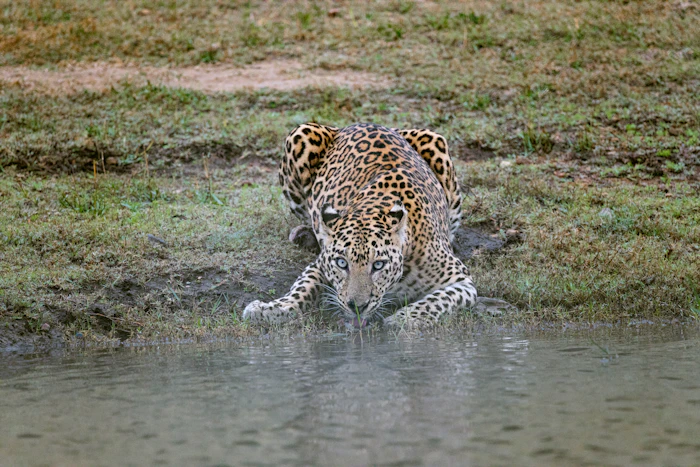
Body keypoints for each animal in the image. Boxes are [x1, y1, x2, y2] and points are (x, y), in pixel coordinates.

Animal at [243, 122, 479, 329]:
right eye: (341, 263)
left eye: (379, 265)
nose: (357, 306)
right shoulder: (320, 264)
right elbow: (301, 288)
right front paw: (270, 309)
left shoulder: (462, 282)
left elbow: (439, 300)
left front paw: (404, 319)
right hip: (300, 136)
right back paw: (304, 234)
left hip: (437, 144)